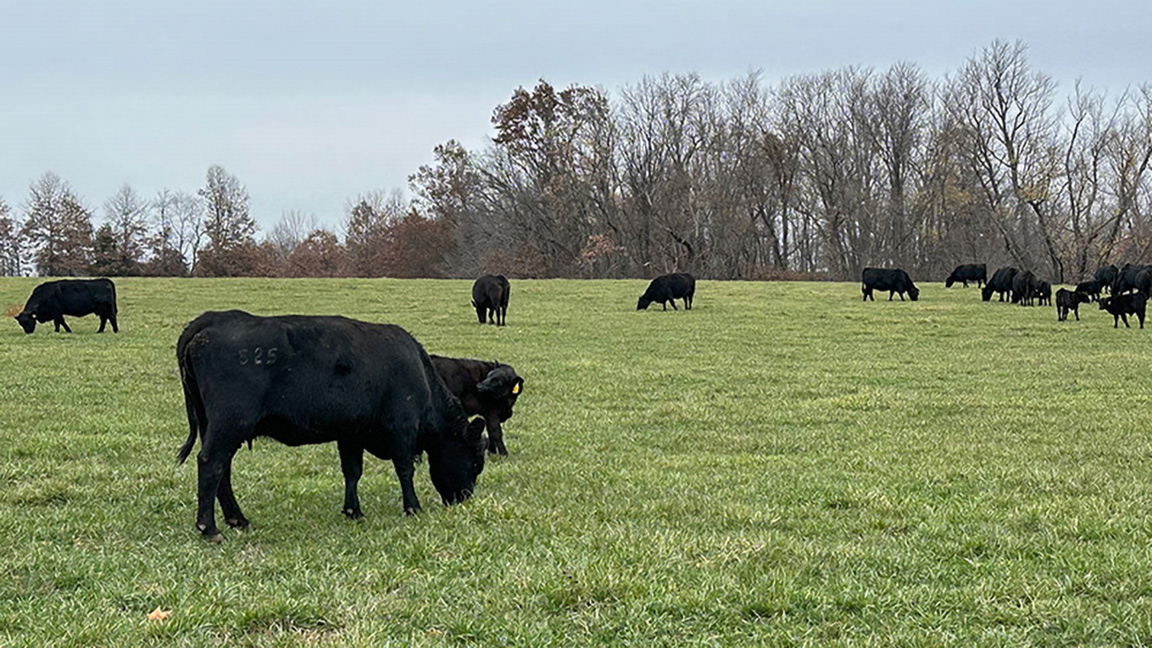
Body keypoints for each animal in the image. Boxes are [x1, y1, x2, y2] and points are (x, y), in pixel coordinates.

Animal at [175, 311, 486, 541]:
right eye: (474, 464)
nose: (464, 499)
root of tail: (214, 319)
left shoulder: (351, 433)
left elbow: (352, 472)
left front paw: (353, 511)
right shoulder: (401, 426)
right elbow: (404, 469)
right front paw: (413, 507)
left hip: (216, 426)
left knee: (222, 469)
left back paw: (237, 519)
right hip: (229, 424)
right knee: (211, 464)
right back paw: (210, 529)